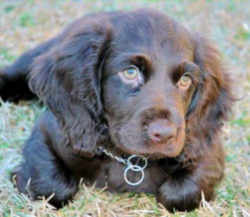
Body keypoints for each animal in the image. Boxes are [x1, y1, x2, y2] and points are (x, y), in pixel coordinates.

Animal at [0, 8, 234, 212]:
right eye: (130, 72)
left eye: (186, 80)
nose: (164, 134)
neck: (129, 160)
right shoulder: (48, 131)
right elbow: (53, 186)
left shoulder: (205, 148)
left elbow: (179, 192)